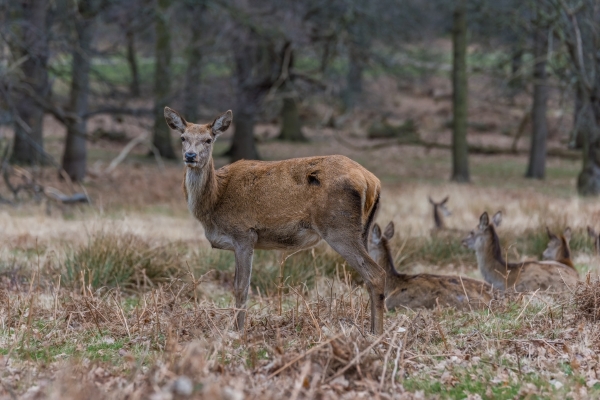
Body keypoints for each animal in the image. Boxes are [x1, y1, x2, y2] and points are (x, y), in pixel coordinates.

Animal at [165, 107, 390, 334]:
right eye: (183, 138)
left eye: (208, 139)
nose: (190, 156)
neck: (214, 201)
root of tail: (373, 181)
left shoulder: (244, 234)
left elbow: (241, 287)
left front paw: (238, 331)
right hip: (363, 230)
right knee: (368, 277)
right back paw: (371, 330)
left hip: (338, 227)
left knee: (376, 274)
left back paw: (377, 333)